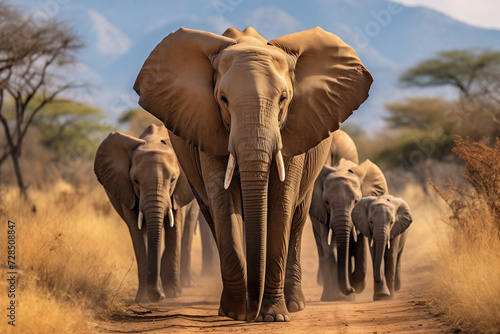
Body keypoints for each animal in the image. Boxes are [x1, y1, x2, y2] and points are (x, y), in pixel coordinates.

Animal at [94, 124, 195, 302]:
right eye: (135, 181)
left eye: (173, 179)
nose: (157, 296)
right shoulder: (126, 189)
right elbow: (138, 233)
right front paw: (144, 298)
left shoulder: (179, 190)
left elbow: (175, 228)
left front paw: (172, 294)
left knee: (187, 227)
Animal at [133, 25, 372, 320]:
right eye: (223, 99)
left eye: (284, 99)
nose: (252, 313)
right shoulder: (207, 127)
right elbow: (223, 203)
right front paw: (235, 313)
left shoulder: (293, 131)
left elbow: (282, 203)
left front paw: (274, 316)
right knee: (212, 215)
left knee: (298, 217)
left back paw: (295, 304)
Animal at [310, 158, 388, 302]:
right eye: (326, 202)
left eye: (356, 201)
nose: (351, 289)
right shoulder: (321, 210)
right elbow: (326, 243)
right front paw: (339, 297)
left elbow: (360, 243)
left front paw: (356, 286)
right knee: (321, 244)